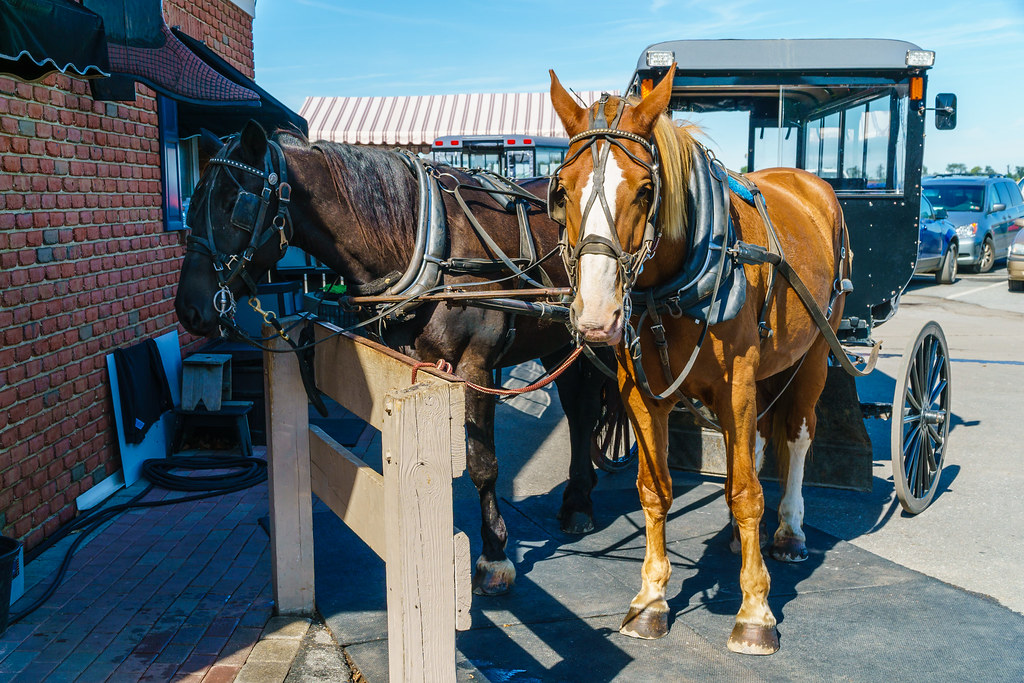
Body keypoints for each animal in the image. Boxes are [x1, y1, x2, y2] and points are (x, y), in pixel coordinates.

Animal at [174, 120, 621, 597]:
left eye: (235, 203)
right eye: (192, 201)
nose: (189, 308)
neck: (426, 241)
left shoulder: (475, 366)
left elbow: (482, 464)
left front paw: (494, 555)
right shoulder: (409, 362)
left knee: (588, 406)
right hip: (561, 340)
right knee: (578, 410)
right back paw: (577, 500)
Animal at [548, 64, 850, 654]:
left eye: (646, 190)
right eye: (563, 190)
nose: (595, 316)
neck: (673, 288)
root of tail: (807, 181)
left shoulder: (738, 385)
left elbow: (748, 493)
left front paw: (755, 611)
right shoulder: (640, 394)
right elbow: (655, 488)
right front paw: (651, 600)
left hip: (816, 352)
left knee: (797, 435)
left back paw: (790, 530)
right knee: (753, 443)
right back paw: (738, 538)